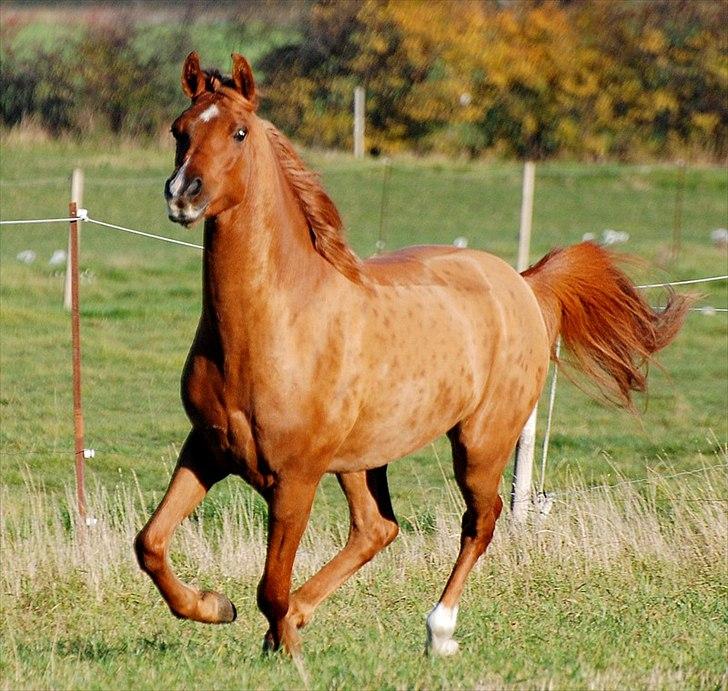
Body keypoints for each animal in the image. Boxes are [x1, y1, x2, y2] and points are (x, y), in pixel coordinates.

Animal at [135, 51, 688, 656]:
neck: (274, 323)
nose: (183, 194)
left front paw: (282, 649)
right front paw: (216, 606)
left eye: (239, 131)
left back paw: (438, 631)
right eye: (179, 130)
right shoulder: (207, 449)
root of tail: (522, 283)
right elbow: (151, 544)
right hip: (362, 458)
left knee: (479, 521)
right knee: (377, 527)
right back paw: (310, 616)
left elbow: (270, 587)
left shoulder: (296, 477)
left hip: (480, 444)